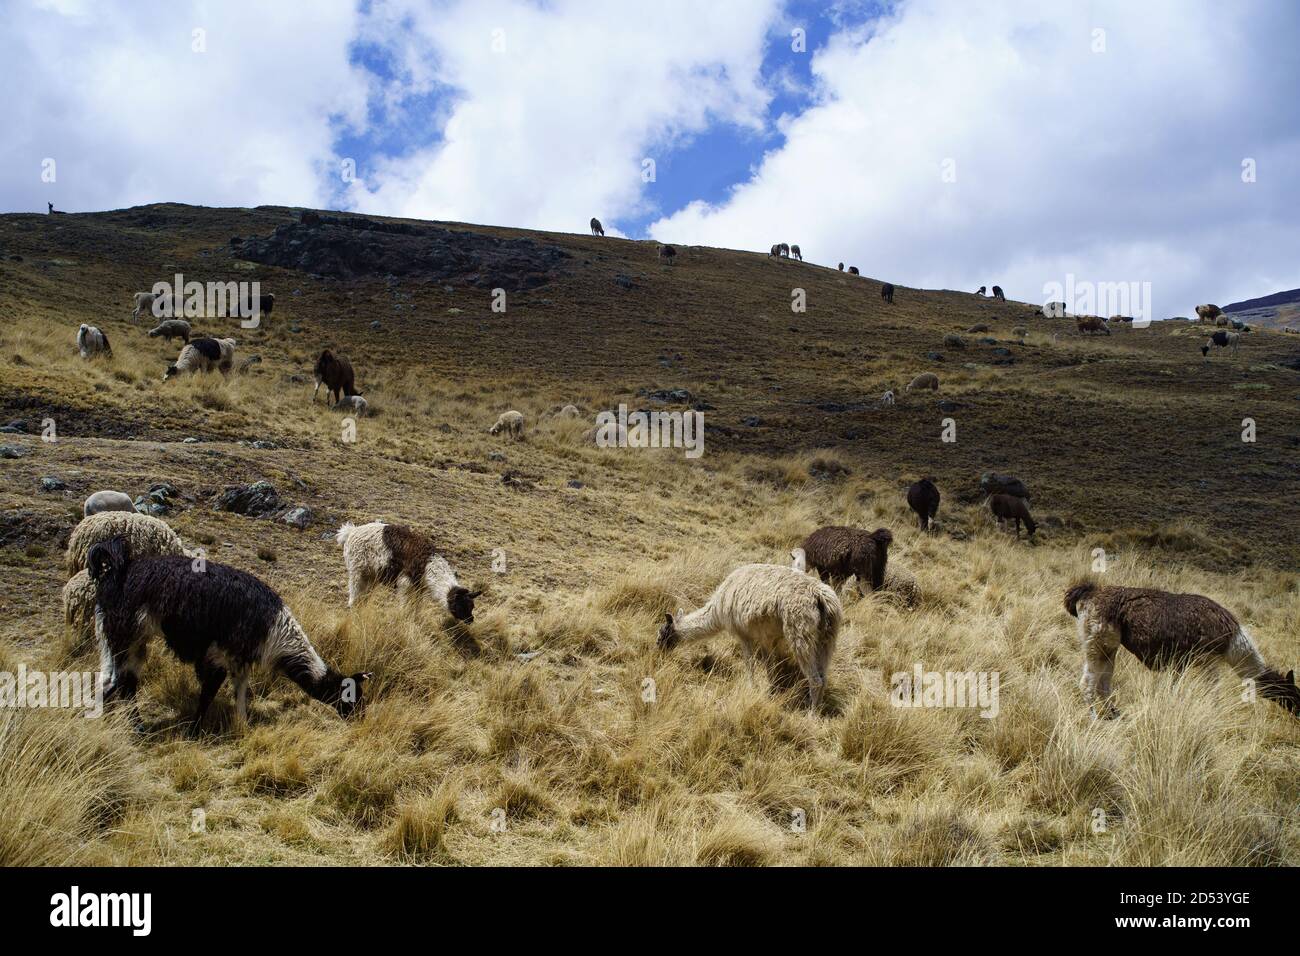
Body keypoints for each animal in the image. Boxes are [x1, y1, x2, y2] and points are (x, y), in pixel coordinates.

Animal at [86, 538, 371, 733]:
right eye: (349, 696)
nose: (360, 716)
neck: (273, 628)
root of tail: (115, 572)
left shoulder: (239, 659)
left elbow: (240, 692)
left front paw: (242, 725)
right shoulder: (220, 653)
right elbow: (209, 692)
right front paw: (194, 730)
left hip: (119, 637)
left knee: (115, 681)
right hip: (126, 634)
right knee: (121, 682)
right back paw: (134, 727)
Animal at [332, 520, 480, 624]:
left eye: (471, 606)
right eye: (461, 606)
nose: (470, 620)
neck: (428, 564)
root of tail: (350, 532)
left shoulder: (418, 588)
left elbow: (416, 606)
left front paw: (415, 619)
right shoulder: (405, 583)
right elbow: (405, 604)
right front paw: (404, 618)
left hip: (371, 574)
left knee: (365, 593)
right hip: (357, 569)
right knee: (354, 590)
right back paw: (354, 609)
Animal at [660, 564, 842, 712]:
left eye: (663, 633)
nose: (659, 650)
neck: (717, 611)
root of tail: (820, 595)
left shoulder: (744, 634)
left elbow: (749, 663)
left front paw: (751, 687)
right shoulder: (768, 638)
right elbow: (770, 667)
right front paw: (771, 690)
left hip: (800, 632)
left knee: (816, 680)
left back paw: (812, 715)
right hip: (826, 639)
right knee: (823, 677)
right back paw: (818, 708)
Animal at [1060, 580, 1294, 723]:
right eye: (1292, 695)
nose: (1297, 713)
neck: (1232, 642)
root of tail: (1088, 592)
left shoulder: (1182, 663)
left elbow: (1176, 688)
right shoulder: (1207, 661)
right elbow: (1213, 693)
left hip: (1107, 646)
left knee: (1103, 683)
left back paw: (1114, 714)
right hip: (1097, 640)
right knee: (1088, 683)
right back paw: (1094, 717)